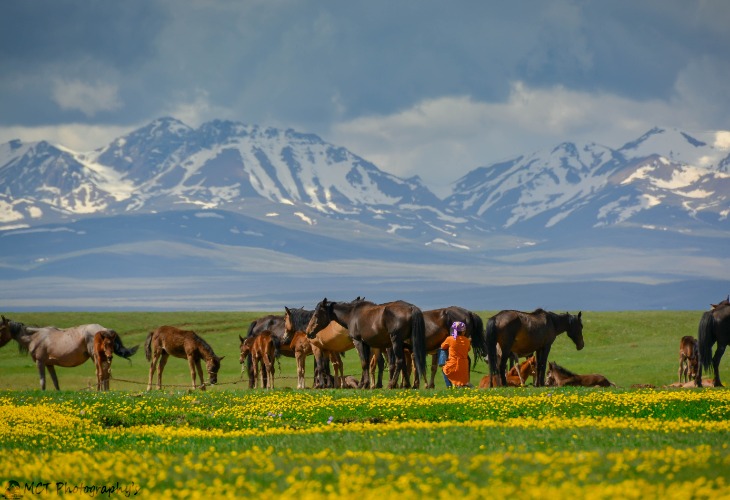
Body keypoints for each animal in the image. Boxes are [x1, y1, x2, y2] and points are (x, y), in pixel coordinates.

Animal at [0, 316, 138, 390]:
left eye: (1, 328)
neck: (35, 337)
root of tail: (104, 329)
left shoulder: (40, 362)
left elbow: (42, 382)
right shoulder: (49, 364)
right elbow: (55, 381)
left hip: (96, 357)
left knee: (101, 373)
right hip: (104, 357)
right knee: (106, 373)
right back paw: (106, 391)